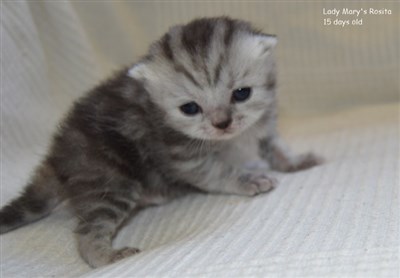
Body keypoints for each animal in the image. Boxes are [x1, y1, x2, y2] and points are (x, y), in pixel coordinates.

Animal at [0, 16, 320, 268]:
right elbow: (219, 172)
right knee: (88, 233)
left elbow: (275, 147)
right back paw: (106, 256)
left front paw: (295, 161)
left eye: (242, 93)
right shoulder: (185, 157)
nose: (222, 123)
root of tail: (57, 152)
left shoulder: (264, 126)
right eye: (190, 108)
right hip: (110, 181)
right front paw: (248, 179)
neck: (234, 139)